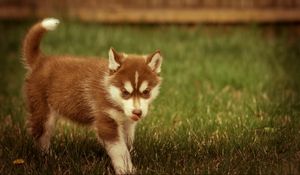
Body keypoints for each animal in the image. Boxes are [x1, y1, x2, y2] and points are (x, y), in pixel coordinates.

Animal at [22, 18, 163, 174]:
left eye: (146, 92)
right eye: (125, 92)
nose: (137, 112)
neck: (110, 93)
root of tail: (41, 60)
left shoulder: (127, 124)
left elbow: (127, 144)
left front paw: (130, 161)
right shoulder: (106, 121)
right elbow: (120, 149)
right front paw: (126, 169)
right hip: (43, 112)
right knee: (41, 136)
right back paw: (48, 158)